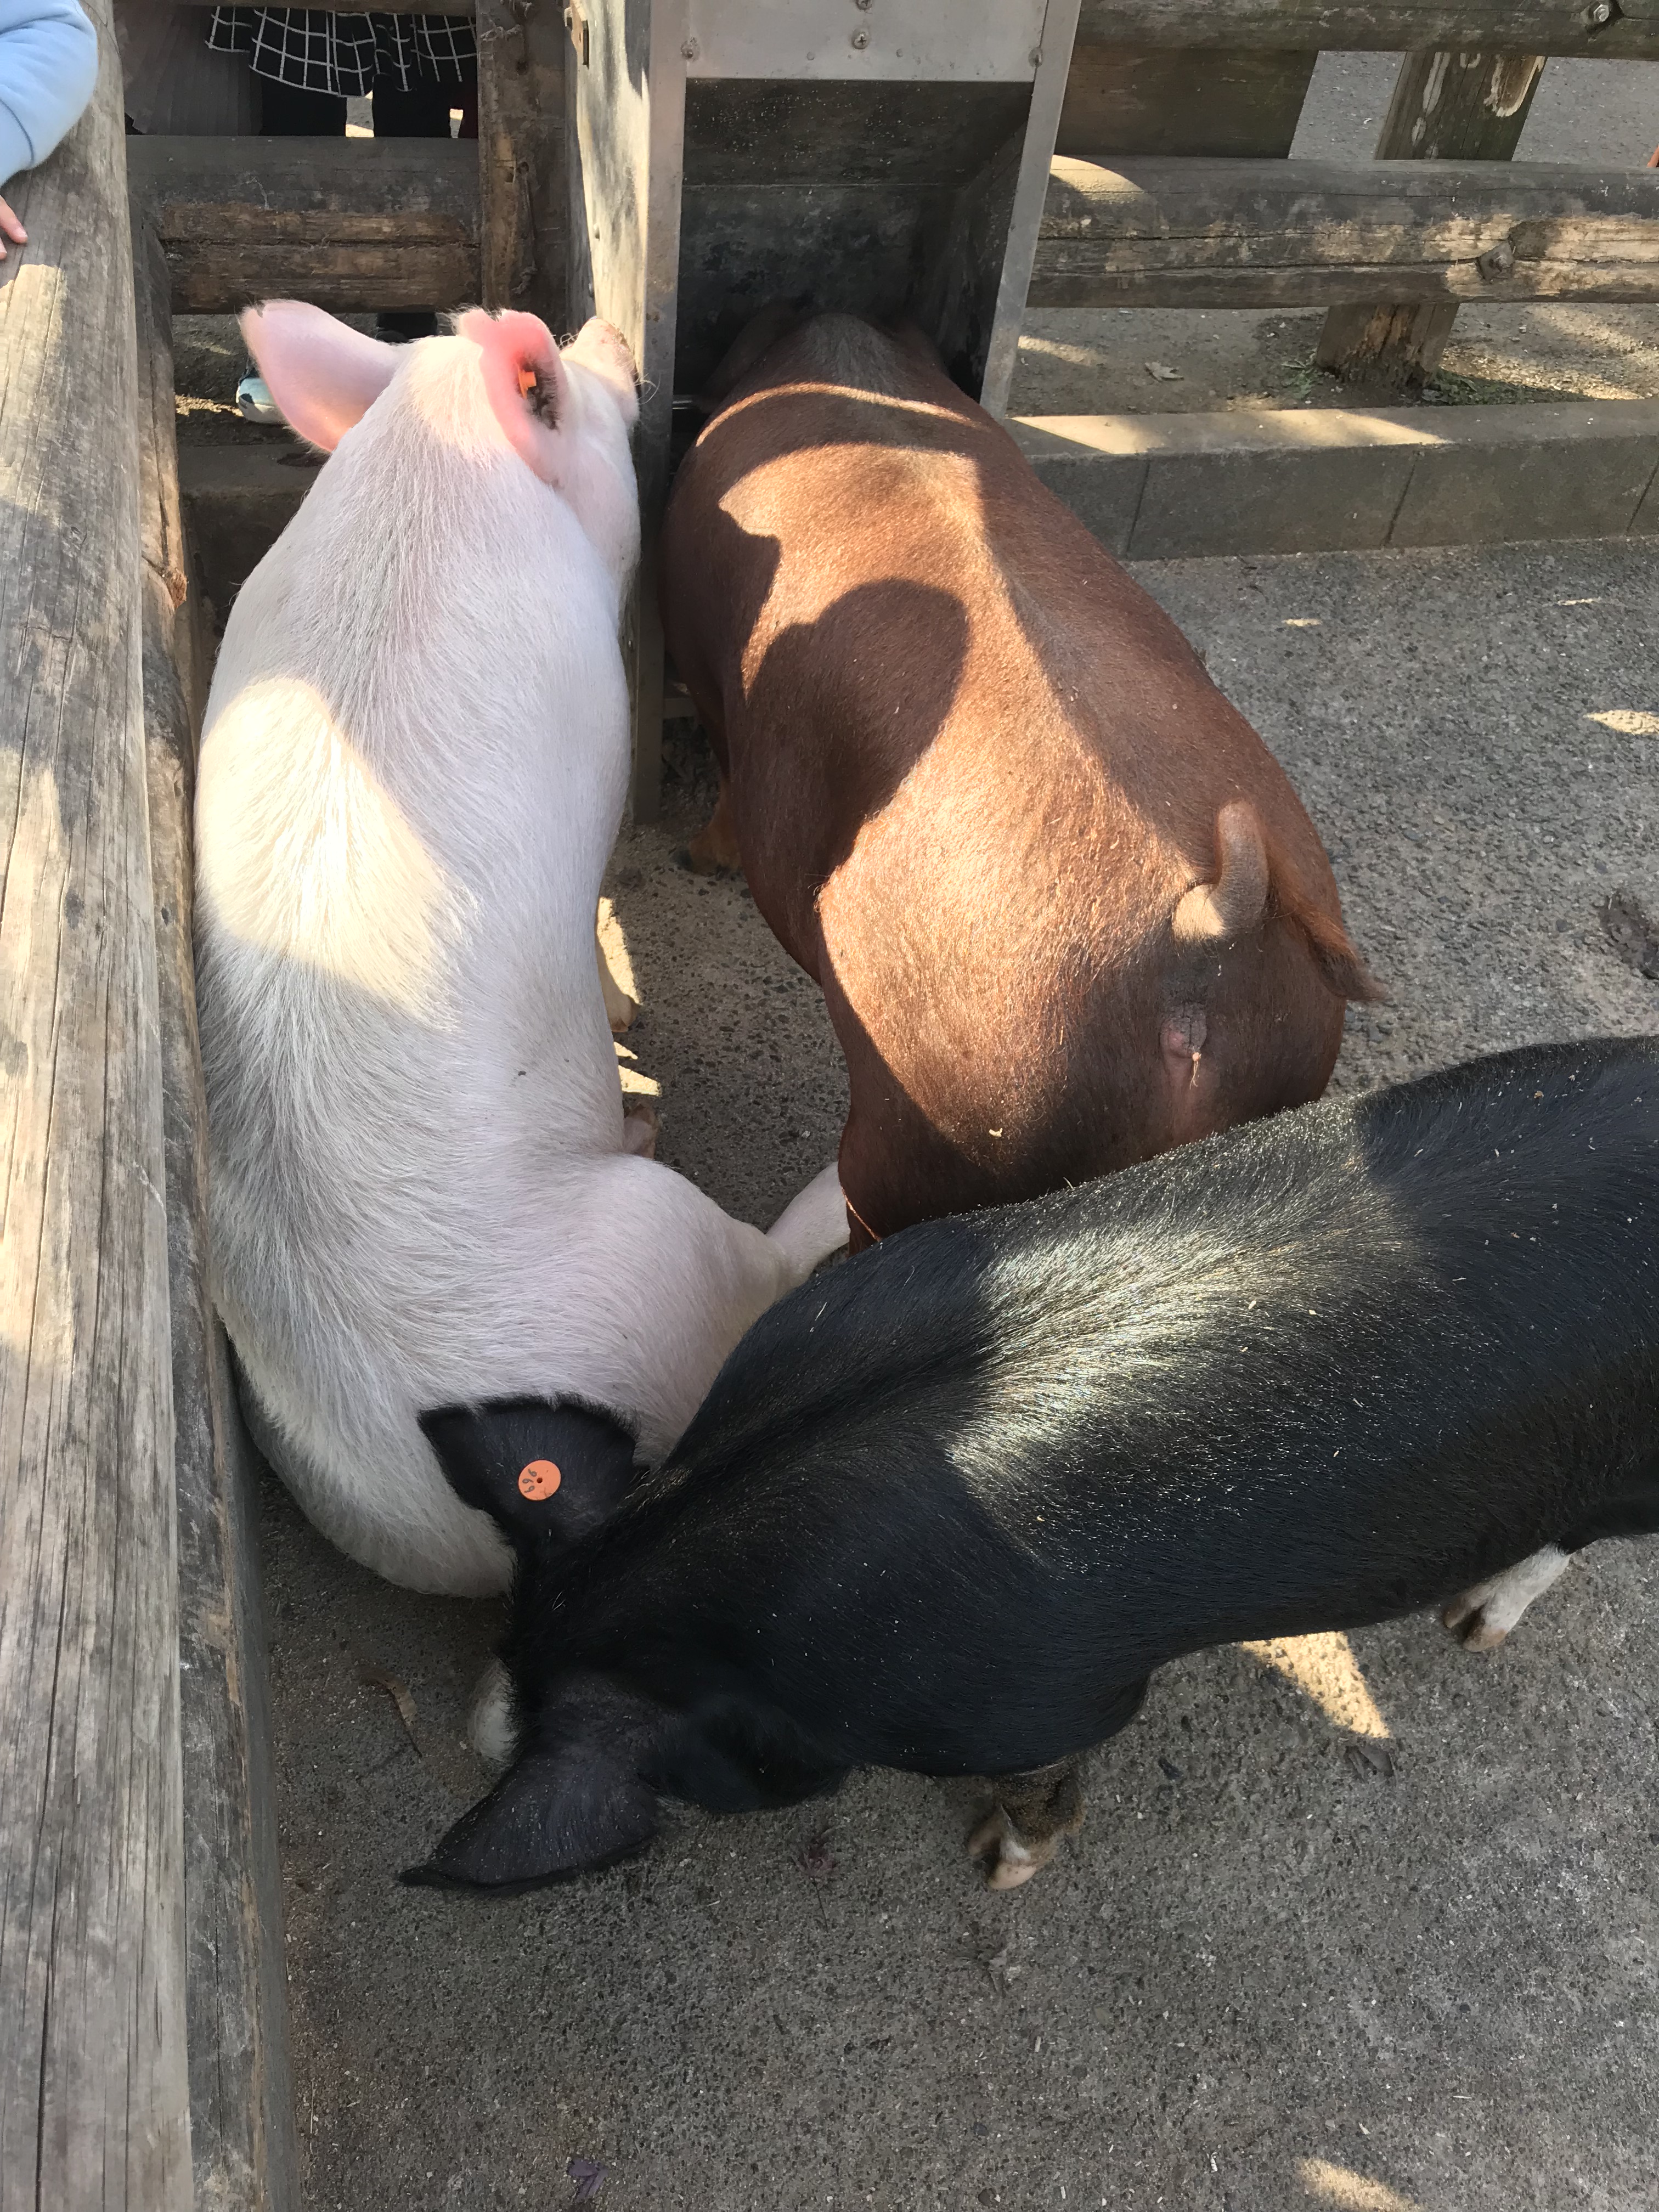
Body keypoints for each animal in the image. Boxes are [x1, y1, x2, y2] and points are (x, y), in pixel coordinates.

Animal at [194, 301, 849, 1600]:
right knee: (752, 1279)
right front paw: (626, 1019)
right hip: (652, 1262)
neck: (426, 466)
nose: (604, 325)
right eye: (578, 390)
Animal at [405, 1036, 1659, 1894]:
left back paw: (1474, 1624)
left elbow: (1043, 1781)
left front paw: (997, 1865)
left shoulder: (1048, 1697)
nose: (481, 1723)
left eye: (678, 1764)